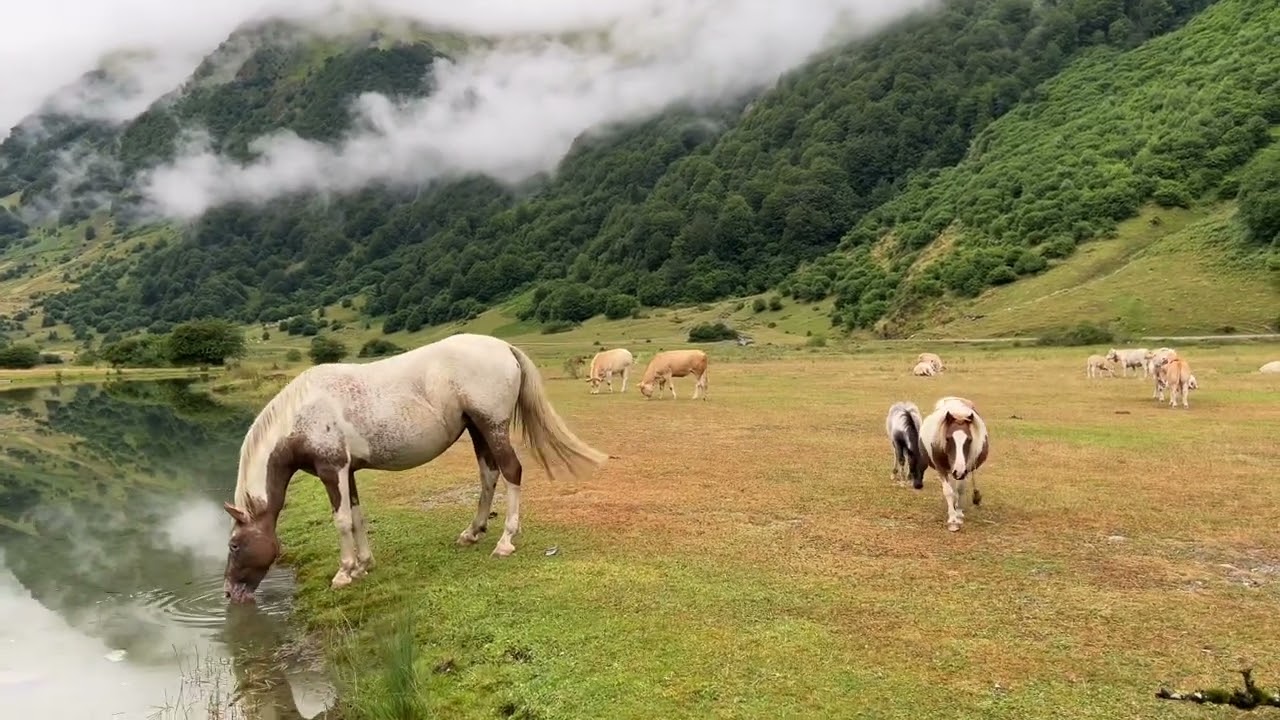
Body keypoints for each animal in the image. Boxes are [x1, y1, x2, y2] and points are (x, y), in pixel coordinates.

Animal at [221, 333, 609, 604]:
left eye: (234, 545)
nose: (228, 592)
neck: (303, 413)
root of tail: (503, 347)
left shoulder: (333, 470)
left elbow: (342, 521)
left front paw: (344, 573)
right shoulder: (349, 473)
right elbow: (358, 517)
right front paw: (364, 564)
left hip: (492, 426)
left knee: (512, 471)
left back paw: (505, 541)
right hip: (477, 430)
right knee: (489, 475)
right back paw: (472, 532)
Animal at [919, 396, 989, 532]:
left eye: (969, 439)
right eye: (947, 438)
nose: (958, 470)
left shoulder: (965, 470)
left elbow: (960, 489)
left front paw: (959, 514)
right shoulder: (941, 469)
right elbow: (948, 491)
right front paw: (952, 520)